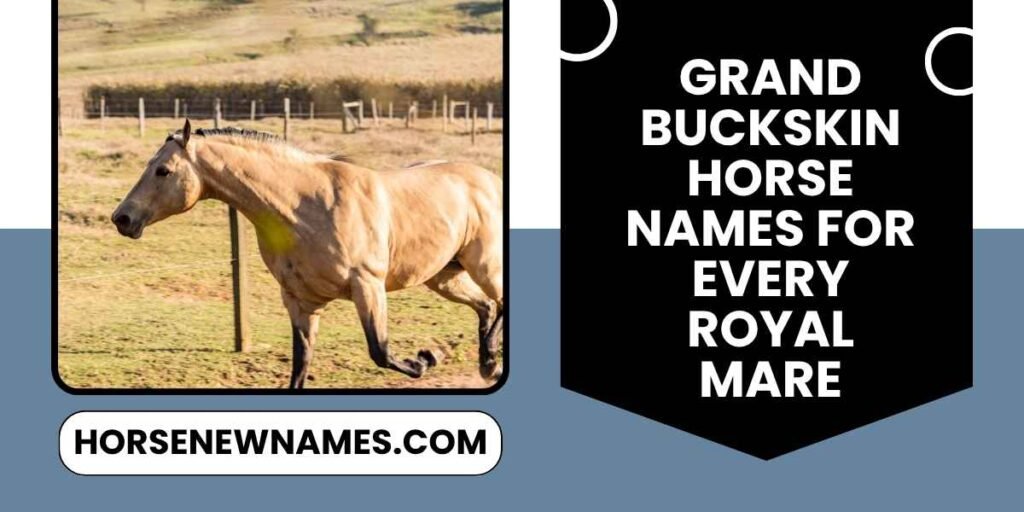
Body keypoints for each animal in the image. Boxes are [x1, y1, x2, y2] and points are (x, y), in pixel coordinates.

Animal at [111, 120, 503, 389]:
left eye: (163, 170)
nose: (122, 218)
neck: (306, 207)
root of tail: (491, 179)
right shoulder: (301, 302)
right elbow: (300, 366)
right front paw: (431, 357)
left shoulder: (367, 286)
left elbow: (380, 350)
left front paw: (426, 359)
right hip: (444, 276)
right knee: (486, 306)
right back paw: (487, 363)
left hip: (485, 267)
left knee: (498, 302)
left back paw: (489, 362)